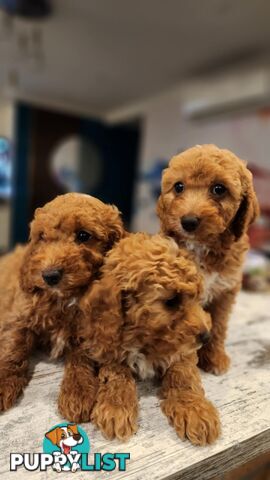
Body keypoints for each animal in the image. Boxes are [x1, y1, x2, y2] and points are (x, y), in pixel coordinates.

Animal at [0, 191, 124, 420]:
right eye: (41, 237)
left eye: (83, 236)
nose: (49, 276)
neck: (65, 298)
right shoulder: (21, 317)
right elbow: (13, 350)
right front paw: (3, 383)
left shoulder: (88, 329)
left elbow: (81, 358)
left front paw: (78, 392)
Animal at [79, 232, 219, 446]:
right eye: (171, 301)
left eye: (196, 298)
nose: (206, 336)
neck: (145, 338)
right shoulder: (108, 345)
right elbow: (117, 373)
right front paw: (116, 407)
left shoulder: (184, 351)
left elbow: (183, 375)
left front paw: (195, 410)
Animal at [158, 142, 260, 376]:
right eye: (178, 187)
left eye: (219, 189)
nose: (188, 221)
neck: (202, 246)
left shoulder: (225, 291)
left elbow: (219, 326)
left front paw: (215, 358)